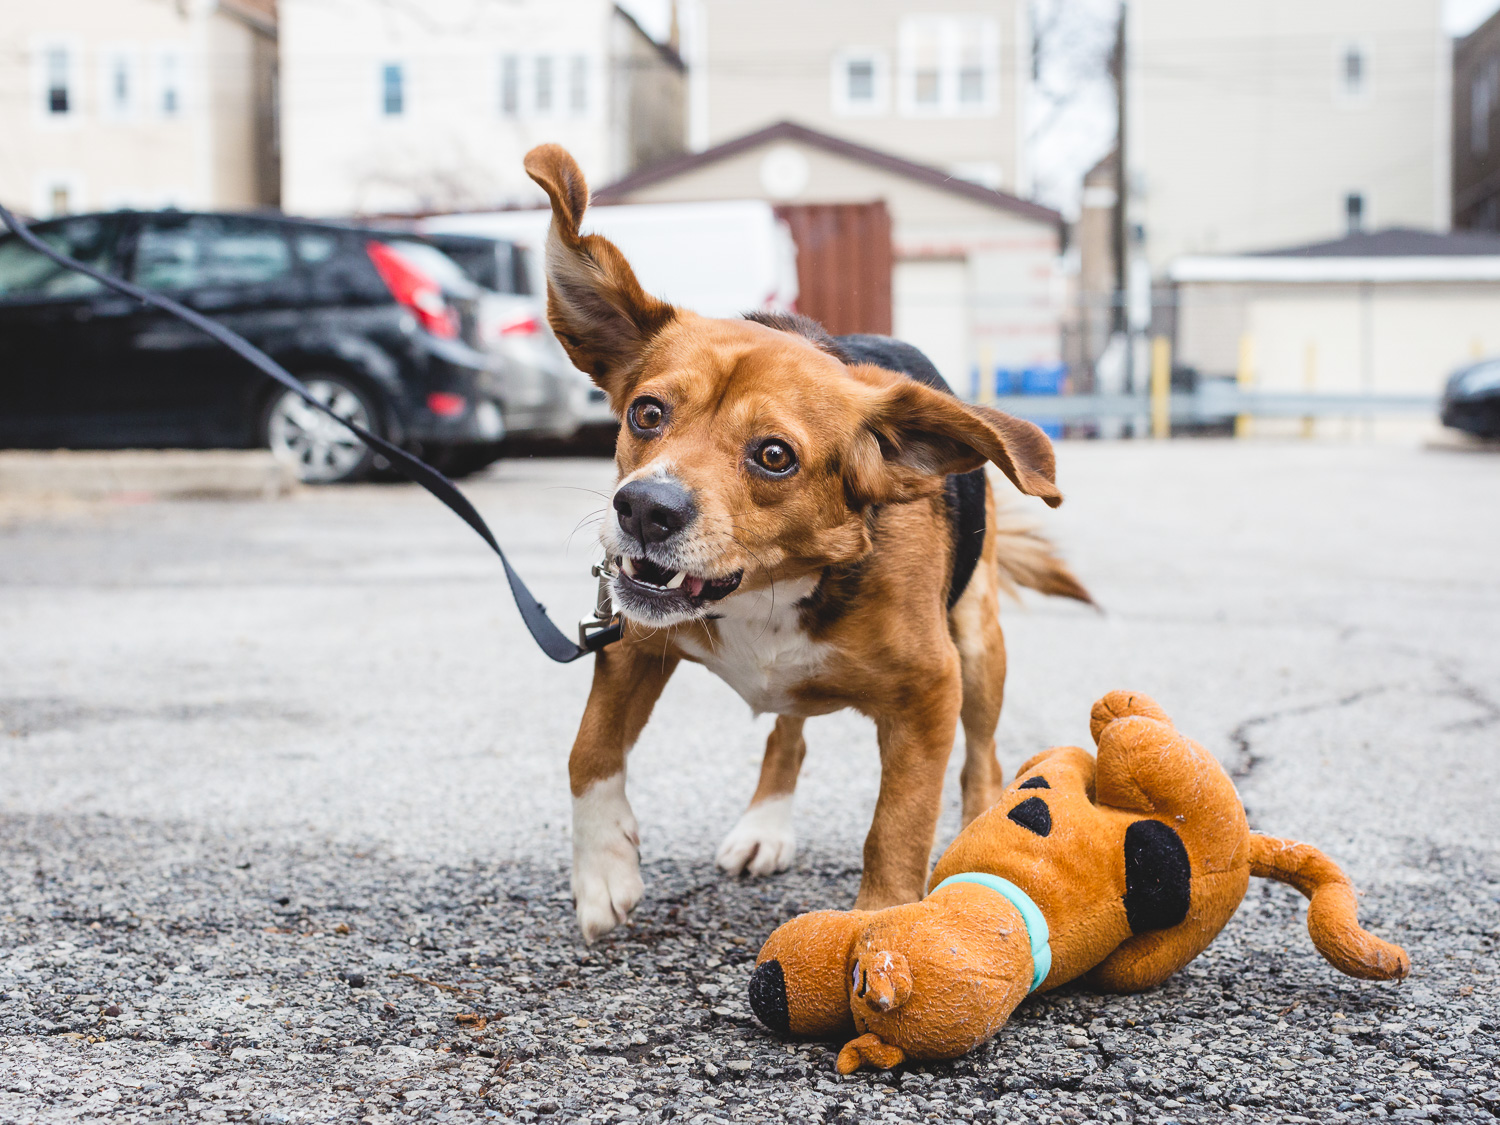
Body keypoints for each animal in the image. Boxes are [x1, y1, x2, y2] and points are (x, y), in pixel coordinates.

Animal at [525, 145, 1092, 948]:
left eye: (773, 456)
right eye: (647, 412)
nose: (643, 509)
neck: (769, 586)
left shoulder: (930, 692)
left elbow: (899, 826)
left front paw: (882, 927)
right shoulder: (631, 642)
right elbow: (589, 750)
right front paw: (604, 869)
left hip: (979, 647)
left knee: (982, 759)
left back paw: (979, 822)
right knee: (787, 732)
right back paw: (765, 825)